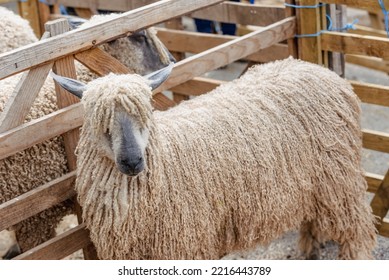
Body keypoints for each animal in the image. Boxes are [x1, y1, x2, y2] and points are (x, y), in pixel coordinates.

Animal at [51, 57, 376, 260]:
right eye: (99, 121)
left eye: (146, 112)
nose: (132, 161)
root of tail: (320, 70)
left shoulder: (184, 243)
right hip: (313, 182)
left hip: (340, 179)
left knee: (357, 230)